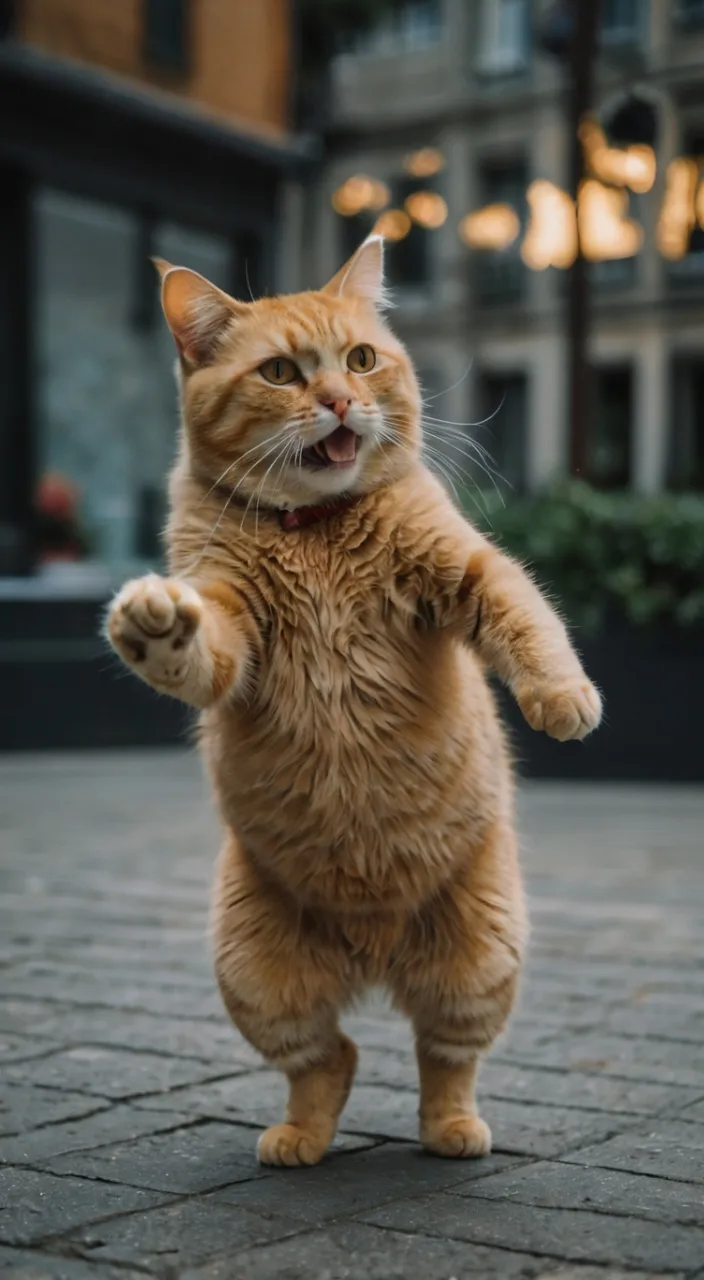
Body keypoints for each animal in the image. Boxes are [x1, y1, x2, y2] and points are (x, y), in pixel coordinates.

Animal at [107, 240, 604, 1172]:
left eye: (362, 359)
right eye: (281, 373)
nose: (339, 399)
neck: (315, 533)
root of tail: (373, 949)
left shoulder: (464, 568)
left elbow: (529, 618)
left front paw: (563, 699)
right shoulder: (231, 628)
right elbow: (195, 643)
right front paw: (153, 624)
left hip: (478, 964)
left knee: (443, 1059)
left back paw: (453, 1132)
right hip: (257, 976)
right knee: (330, 1058)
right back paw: (300, 1136)